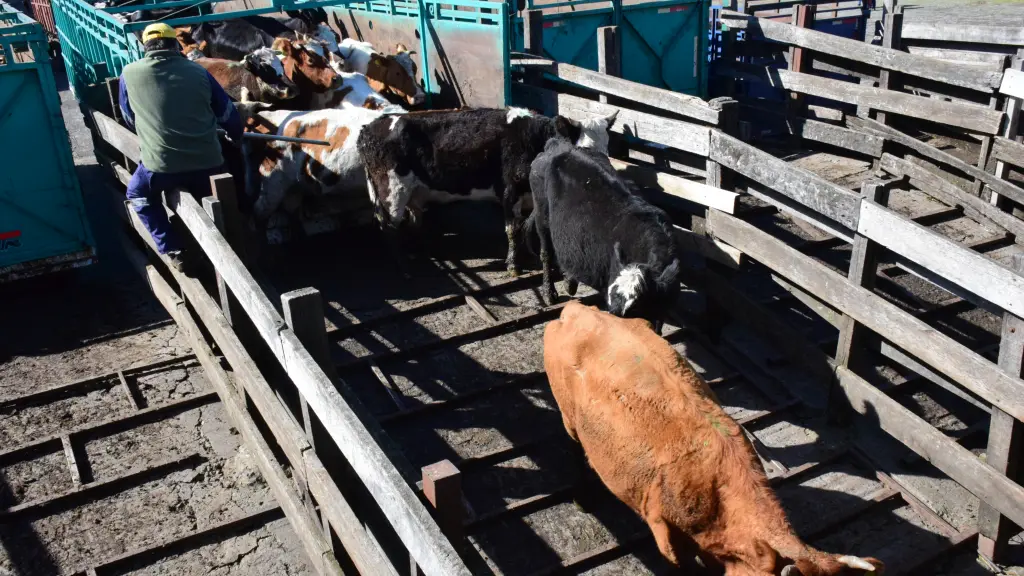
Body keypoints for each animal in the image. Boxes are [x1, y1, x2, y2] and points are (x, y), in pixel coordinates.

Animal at [528, 137, 679, 327]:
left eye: (635, 305)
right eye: (612, 294)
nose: (613, 315)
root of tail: (558, 144)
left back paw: (569, 281)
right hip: (541, 214)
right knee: (546, 252)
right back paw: (549, 293)